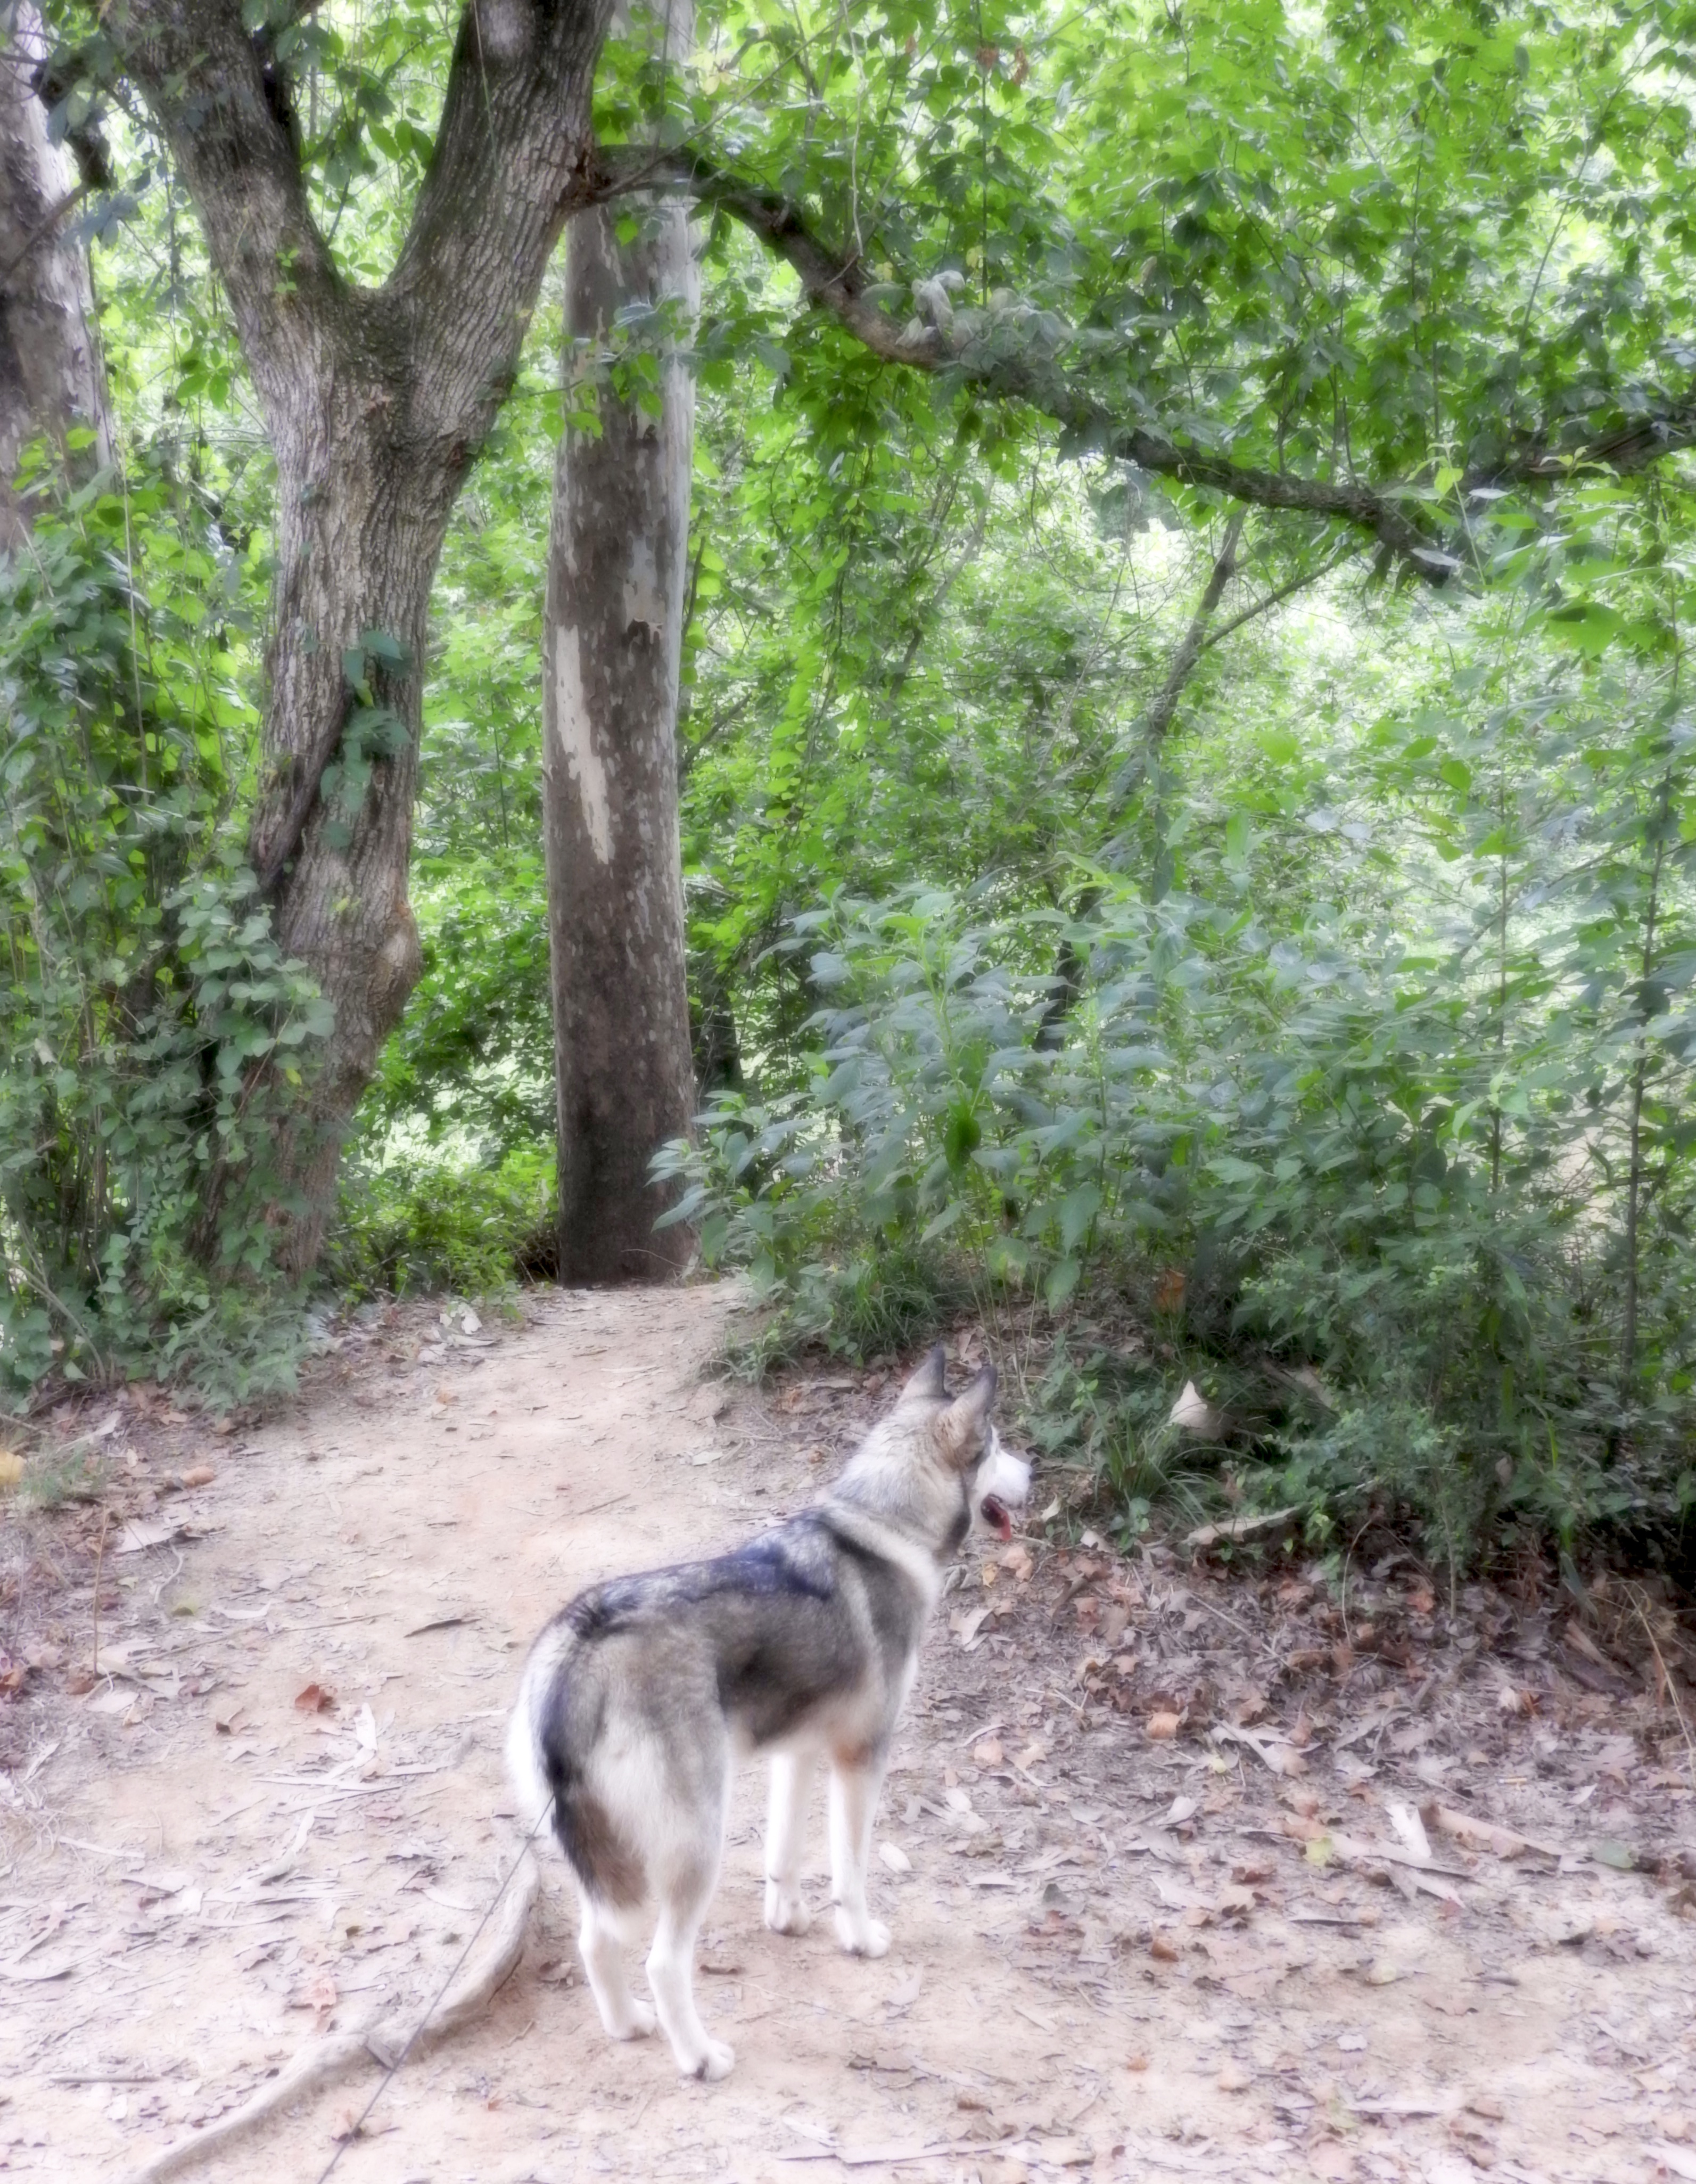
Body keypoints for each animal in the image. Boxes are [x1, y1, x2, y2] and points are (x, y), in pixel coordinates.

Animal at [505, 1343, 1031, 2080]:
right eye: (999, 1446)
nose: (1034, 1474)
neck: (881, 1528)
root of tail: (577, 1646)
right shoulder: (860, 1759)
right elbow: (850, 1870)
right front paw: (859, 1938)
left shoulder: (798, 1752)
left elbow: (783, 1852)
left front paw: (787, 1918)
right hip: (697, 1843)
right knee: (663, 1962)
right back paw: (700, 2058)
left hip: (610, 1861)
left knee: (596, 1942)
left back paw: (629, 2025)